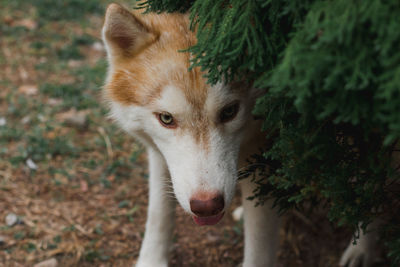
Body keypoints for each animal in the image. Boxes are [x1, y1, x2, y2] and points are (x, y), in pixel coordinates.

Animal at [101, 3, 376, 266]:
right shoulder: (159, 154)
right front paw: (151, 261)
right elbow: (159, 213)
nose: (206, 206)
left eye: (230, 112)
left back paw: (361, 250)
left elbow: (258, 253)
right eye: (166, 119)